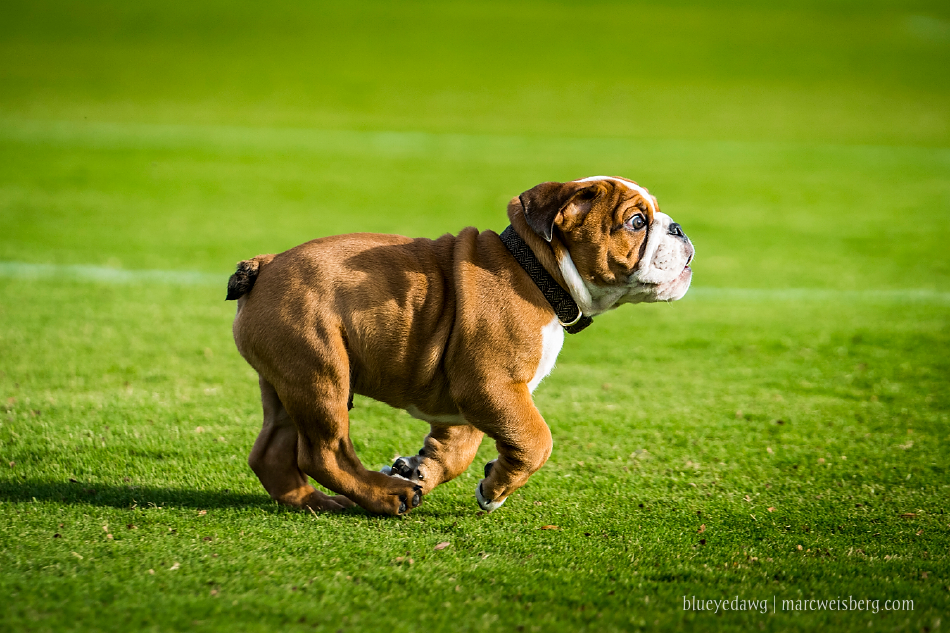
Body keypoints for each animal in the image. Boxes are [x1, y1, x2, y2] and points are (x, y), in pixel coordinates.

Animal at [228, 177, 696, 512]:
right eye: (636, 222)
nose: (680, 228)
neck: (538, 271)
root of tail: (266, 265)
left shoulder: (472, 398)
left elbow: (457, 449)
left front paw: (420, 470)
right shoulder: (492, 386)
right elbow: (536, 440)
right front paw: (496, 489)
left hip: (289, 381)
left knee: (271, 453)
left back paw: (320, 503)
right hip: (322, 377)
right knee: (324, 454)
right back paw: (385, 496)